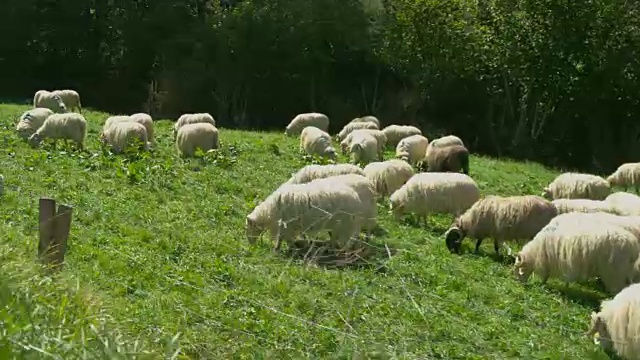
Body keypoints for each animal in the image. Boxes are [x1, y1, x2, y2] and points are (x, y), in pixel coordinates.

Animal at [512, 217, 640, 296]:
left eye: (518, 268)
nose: (520, 283)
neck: (535, 251)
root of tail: (633, 245)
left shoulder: (550, 260)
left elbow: (547, 275)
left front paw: (544, 284)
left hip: (615, 272)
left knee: (618, 288)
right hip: (626, 271)